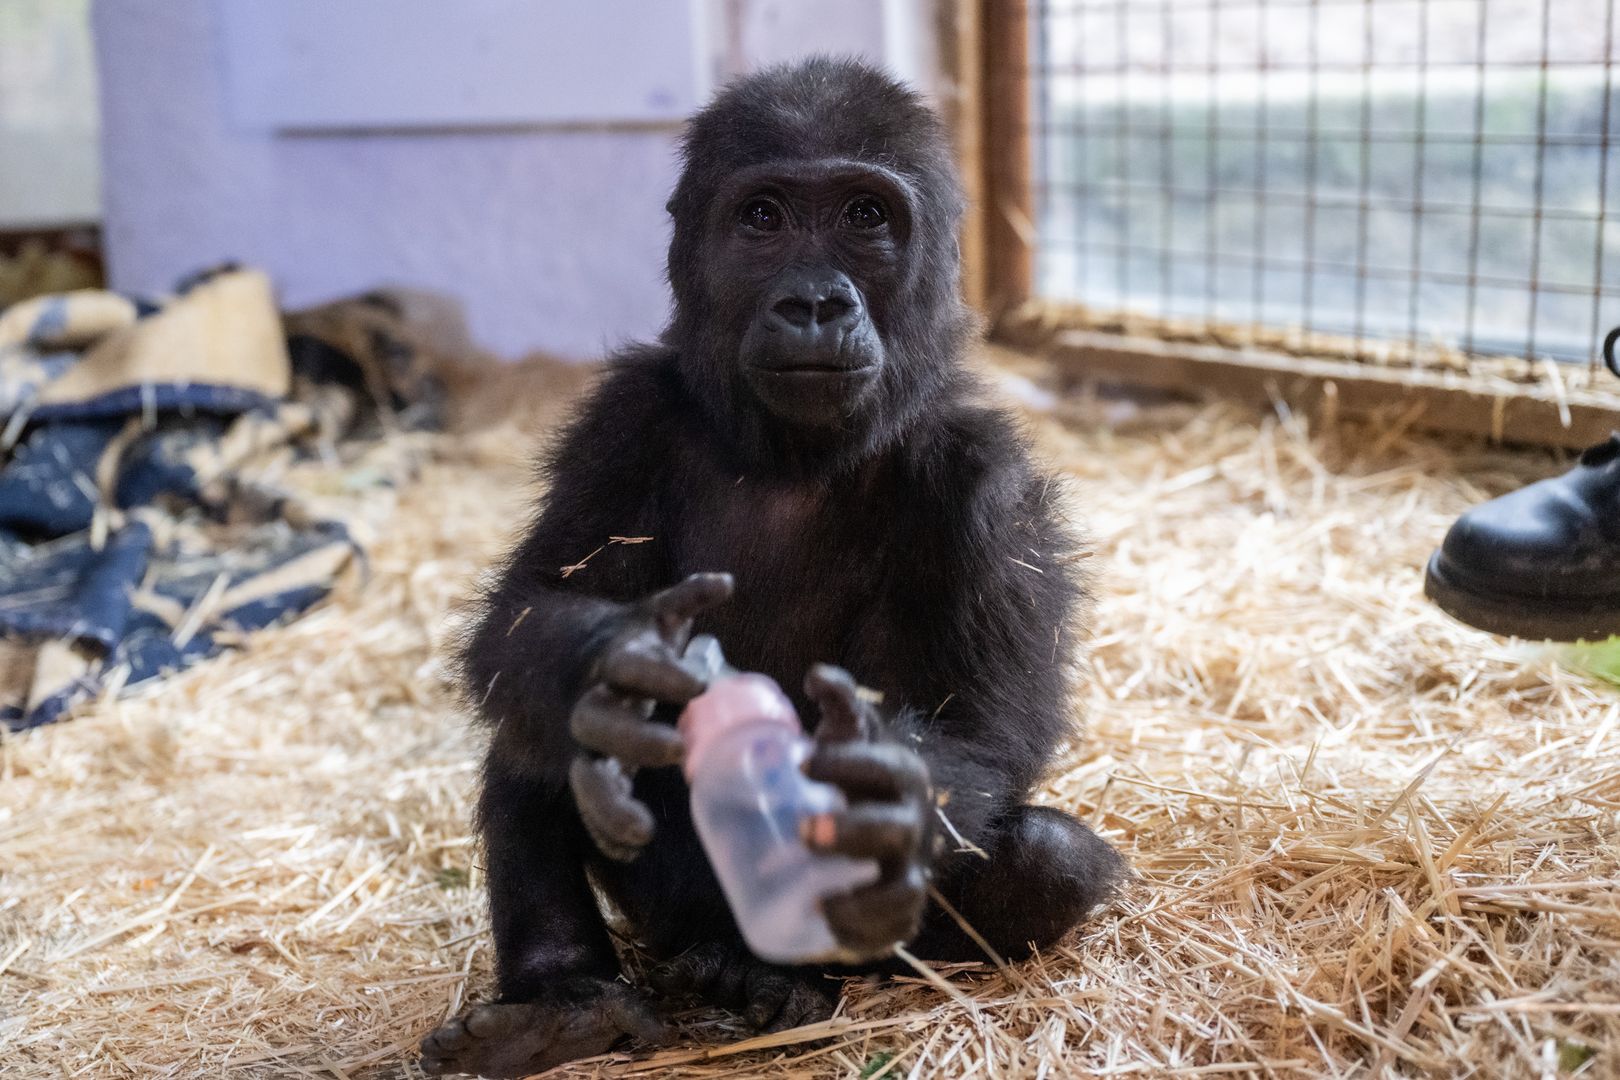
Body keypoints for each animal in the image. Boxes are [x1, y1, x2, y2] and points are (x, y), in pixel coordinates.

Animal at [421, 61, 1127, 1080]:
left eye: (867, 217)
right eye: (763, 218)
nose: (815, 303)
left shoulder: (988, 481)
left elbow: (994, 724)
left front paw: (882, 794)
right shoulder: (620, 421)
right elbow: (530, 612)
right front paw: (613, 666)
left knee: (1047, 860)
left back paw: (789, 980)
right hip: (668, 914)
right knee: (533, 734)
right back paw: (566, 1005)